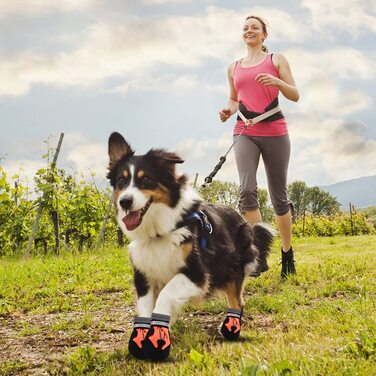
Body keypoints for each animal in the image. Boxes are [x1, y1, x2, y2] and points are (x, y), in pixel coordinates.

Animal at [106, 133, 274, 362]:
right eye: (121, 181)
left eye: (146, 179)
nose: (124, 201)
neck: (159, 232)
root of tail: (242, 219)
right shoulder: (144, 275)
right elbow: (145, 309)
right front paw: (142, 340)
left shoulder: (197, 273)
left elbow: (166, 296)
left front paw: (158, 338)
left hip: (232, 268)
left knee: (237, 303)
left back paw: (231, 329)